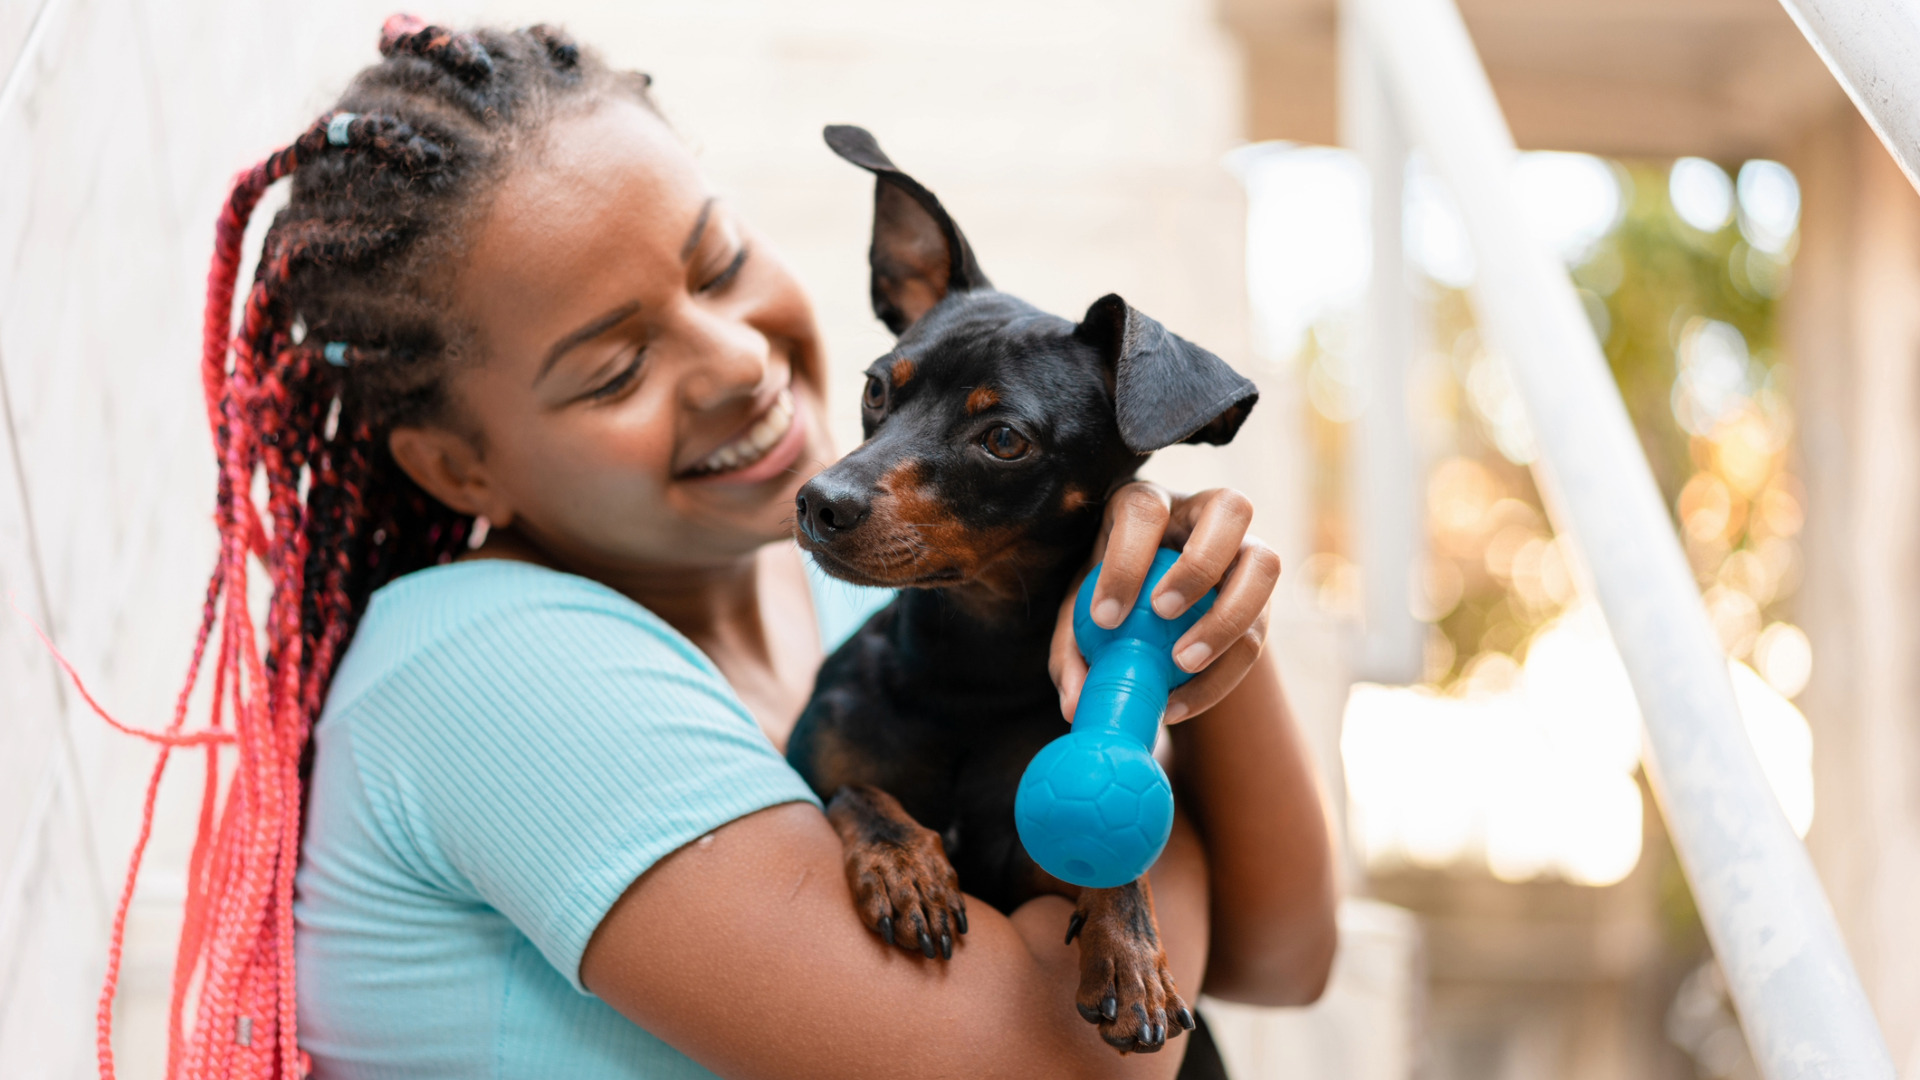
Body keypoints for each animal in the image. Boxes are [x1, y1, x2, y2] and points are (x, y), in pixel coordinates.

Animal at [783, 127, 1251, 1060]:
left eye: (1004, 439)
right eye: (876, 389)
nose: (820, 502)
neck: (971, 662)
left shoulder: (1033, 865)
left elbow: (1116, 867)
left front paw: (1131, 954)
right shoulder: (810, 764)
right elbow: (860, 794)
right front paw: (907, 863)